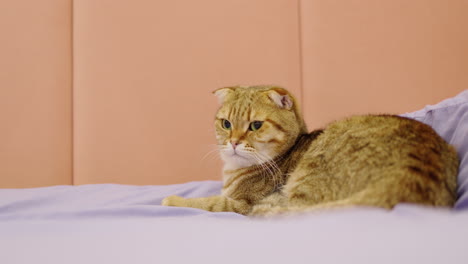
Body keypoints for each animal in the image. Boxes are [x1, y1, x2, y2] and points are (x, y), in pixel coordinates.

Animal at [161, 85, 458, 216]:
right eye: (226, 124)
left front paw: (171, 200)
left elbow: (209, 202)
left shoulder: (241, 204)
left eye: (255, 125)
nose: (232, 141)